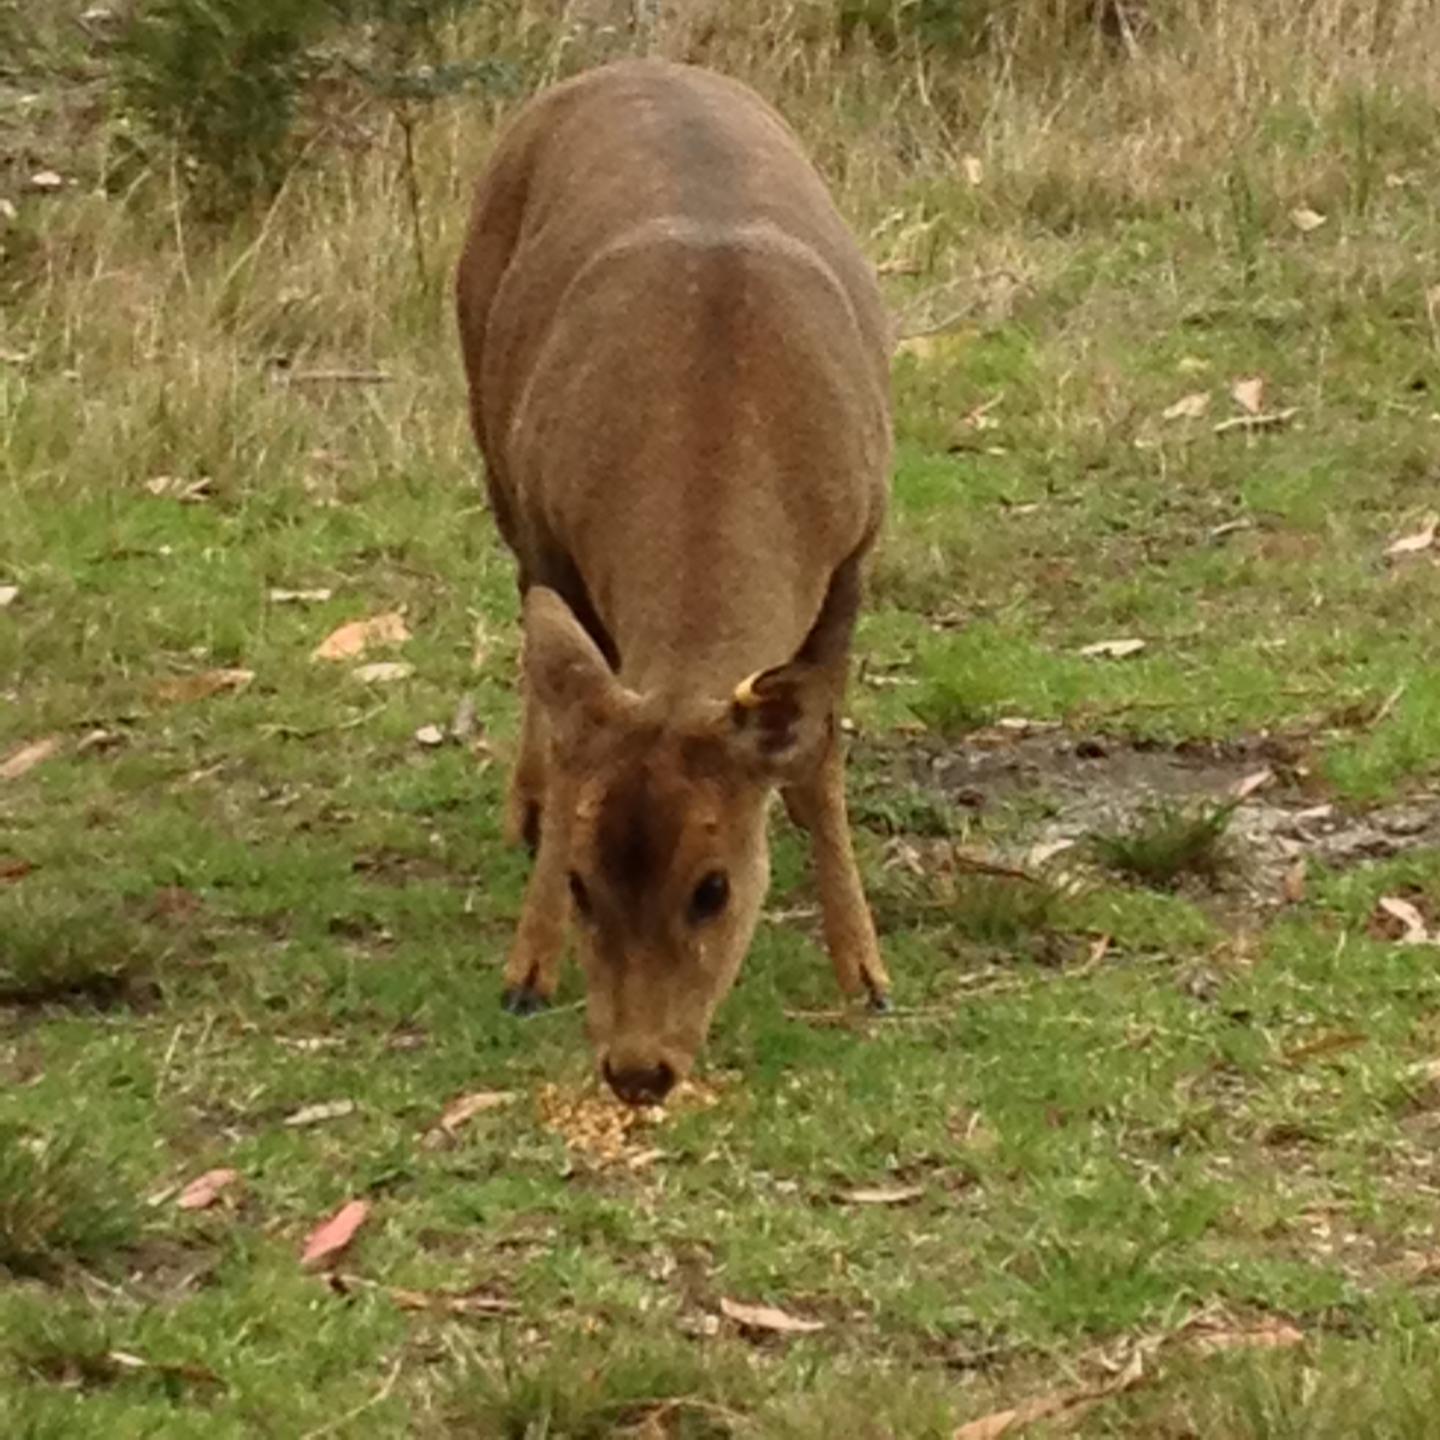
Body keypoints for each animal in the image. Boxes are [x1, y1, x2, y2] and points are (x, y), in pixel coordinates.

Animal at [455, 59, 892, 1100]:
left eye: (714, 887)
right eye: (582, 882)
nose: (638, 1067)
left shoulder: (855, 547)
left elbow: (817, 758)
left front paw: (865, 971)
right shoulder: (549, 524)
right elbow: (569, 718)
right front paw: (526, 970)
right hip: (488, 428)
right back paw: (523, 806)